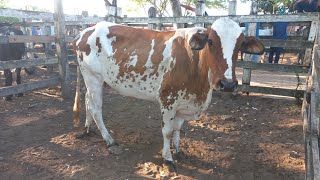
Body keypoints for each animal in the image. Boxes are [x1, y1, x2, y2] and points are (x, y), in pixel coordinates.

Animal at [73, 17, 264, 165]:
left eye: (240, 45)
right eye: (210, 42)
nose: (228, 84)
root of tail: (85, 31)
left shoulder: (184, 101)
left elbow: (178, 128)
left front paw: (178, 150)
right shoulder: (168, 99)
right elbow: (167, 131)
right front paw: (168, 158)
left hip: (95, 81)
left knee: (88, 101)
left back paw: (88, 128)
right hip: (93, 78)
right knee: (96, 109)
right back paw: (109, 140)